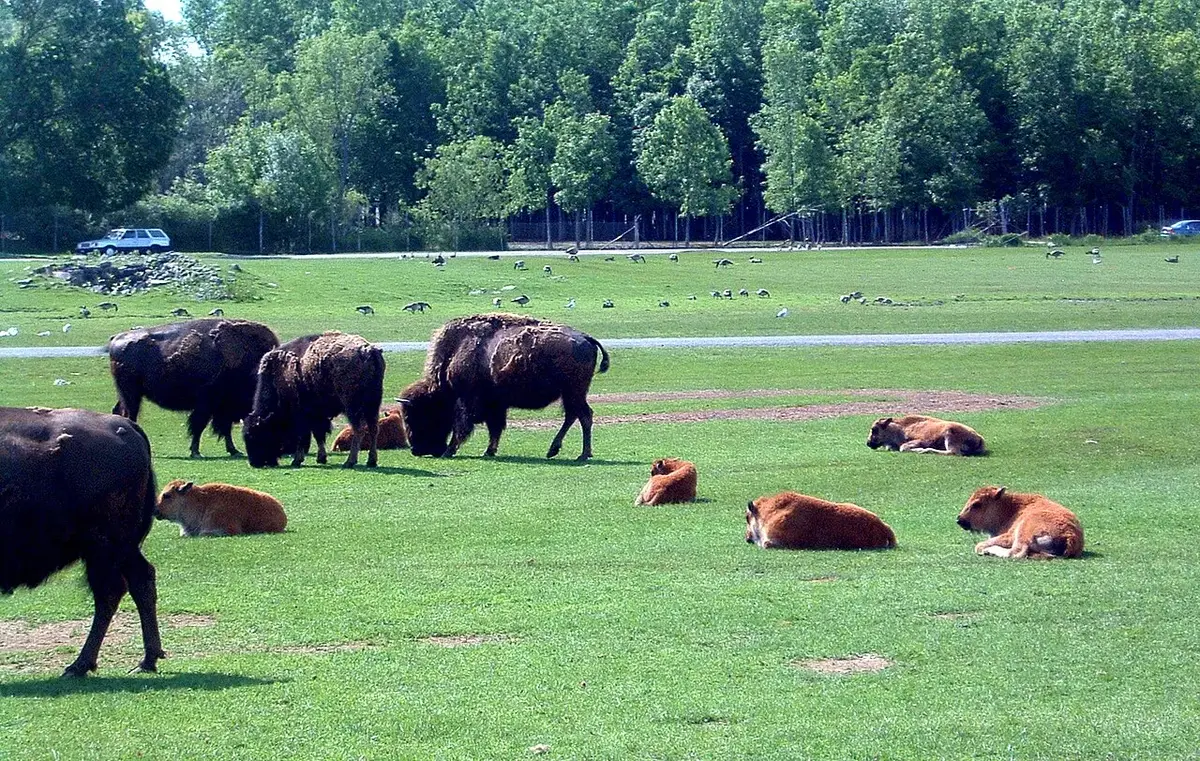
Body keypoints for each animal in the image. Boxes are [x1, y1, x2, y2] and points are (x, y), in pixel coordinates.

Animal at [1, 406, 165, 676]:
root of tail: (125, 426)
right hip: (120, 548)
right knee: (140, 581)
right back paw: (147, 660)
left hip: (104, 547)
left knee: (110, 592)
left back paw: (79, 666)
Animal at [108, 319, 279, 458]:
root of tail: (116, 339)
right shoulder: (208, 404)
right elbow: (200, 426)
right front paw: (196, 452)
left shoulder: (222, 408)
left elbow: (224, 428)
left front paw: (234, 450)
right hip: (131, 395)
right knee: (130, 414)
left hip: (126, 394)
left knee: (119, 411)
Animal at [243, 332, 385, 468]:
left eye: (258, 435)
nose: (254, 463)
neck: (280, 374)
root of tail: (369, 351)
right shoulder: (316, 414)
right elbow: (318, 434)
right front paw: (321, 458)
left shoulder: (302, 415)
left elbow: (303, 435)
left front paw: (297, 460)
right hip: (373, 404)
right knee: (373, 428)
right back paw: (371, 461)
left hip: (352, 406)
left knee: (359, 429)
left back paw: (350, 461)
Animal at [398, 313, 610, 460]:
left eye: (414, 415)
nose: (416, 450)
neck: (455, 352)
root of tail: (586, 338)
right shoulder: (495, 404)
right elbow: (495, 427)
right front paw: (489, 451)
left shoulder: (466, 400)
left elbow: (463, 427)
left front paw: (449, 451)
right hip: (571, 394)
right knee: (573, 415)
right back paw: (554, 450)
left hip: (574, 392)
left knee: (584, 416)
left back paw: (582, 454)